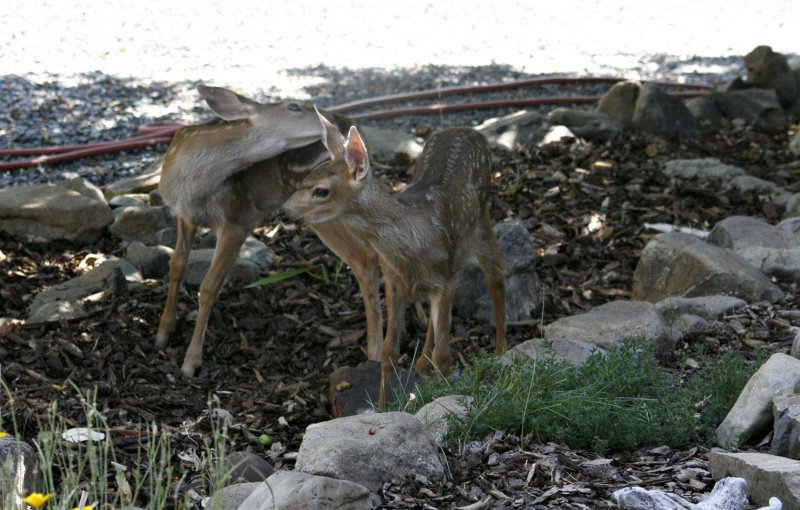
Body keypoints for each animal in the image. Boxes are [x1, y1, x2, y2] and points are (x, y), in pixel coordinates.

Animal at [158, 85, 382, 376]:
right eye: (293, 106)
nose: (332, 119)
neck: (191, 185)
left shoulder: (238, 218)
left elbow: (209, 287)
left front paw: (190, 362)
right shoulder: (183, 215)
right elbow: (176, 266)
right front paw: (163, 332)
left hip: (323, 210)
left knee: (364, 259)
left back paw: (376, 353)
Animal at [282, 111, 506, 406]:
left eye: (320, 191)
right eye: (305, 178)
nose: (282, 212)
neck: (411, 245)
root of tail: (470, 130)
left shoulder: (443, 280)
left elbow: (445, 354)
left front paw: (444, 397)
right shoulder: (393, 280)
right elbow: (389, 351)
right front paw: (381, 407)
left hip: (481, 220)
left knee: (496, 279)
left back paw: (501, 352)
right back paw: (421, 364)